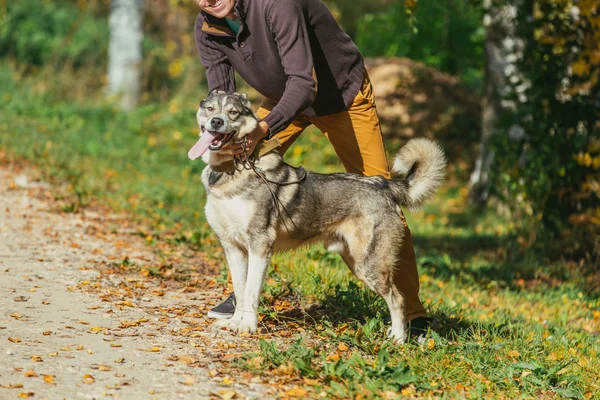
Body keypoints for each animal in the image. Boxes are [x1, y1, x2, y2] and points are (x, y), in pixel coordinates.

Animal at [188, 91, 446, 344]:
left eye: (232, 112)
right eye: (210, 109)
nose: (216, 122)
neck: (232, 170)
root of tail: (383, 184)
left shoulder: (260, 245)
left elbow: (251, 293)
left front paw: (248, 327)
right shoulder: (232, 247)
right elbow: (241, 292)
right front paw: (234, 323)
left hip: (370, 265)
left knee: (398, 298)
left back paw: (399, 339)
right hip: (356, 263)